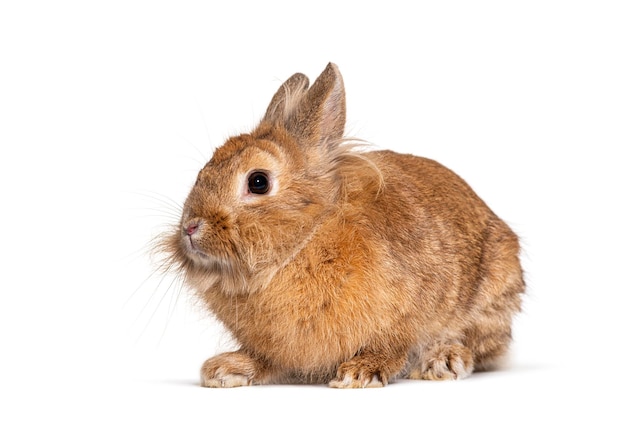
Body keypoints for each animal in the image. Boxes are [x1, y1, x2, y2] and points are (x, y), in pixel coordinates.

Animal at [160, 63, 520, 388]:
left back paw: (443, 361)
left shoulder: (404, 313)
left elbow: (393, 346)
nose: (190, 227)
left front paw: (359, 373)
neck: (305, 241)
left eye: (258, 182)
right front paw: (227, 370)